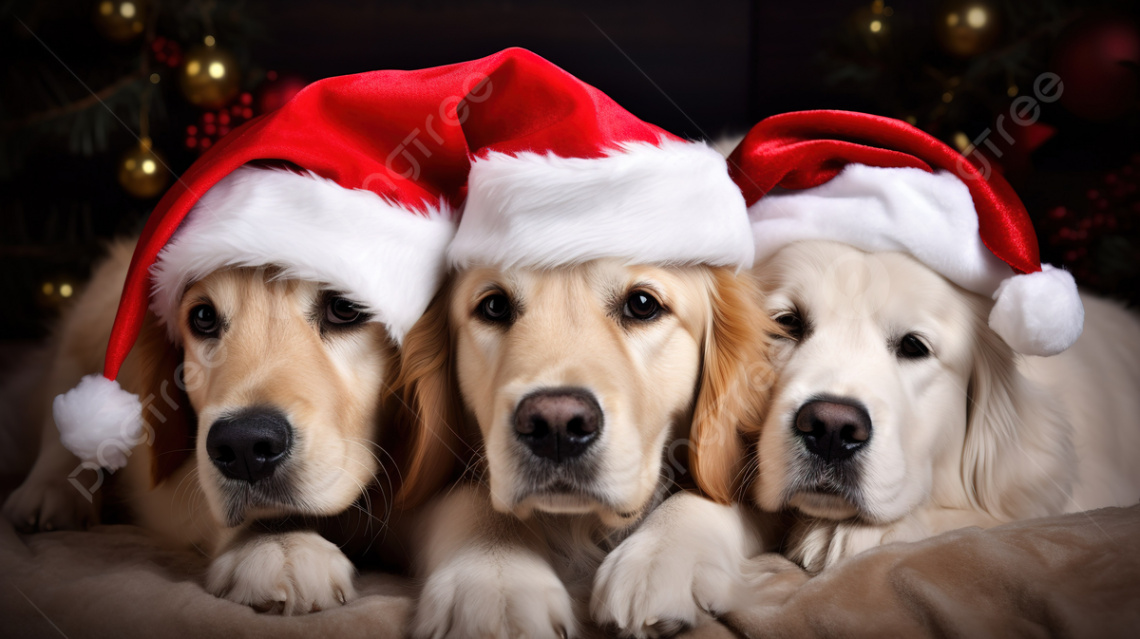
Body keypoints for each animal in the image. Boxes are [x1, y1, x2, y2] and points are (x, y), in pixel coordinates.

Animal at [396, 260, 770, 637]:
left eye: (643, 304)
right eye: (495, 306)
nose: (556, 427)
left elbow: (712, 492)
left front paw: (659, 559)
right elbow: (468, 498)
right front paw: (494, 583)